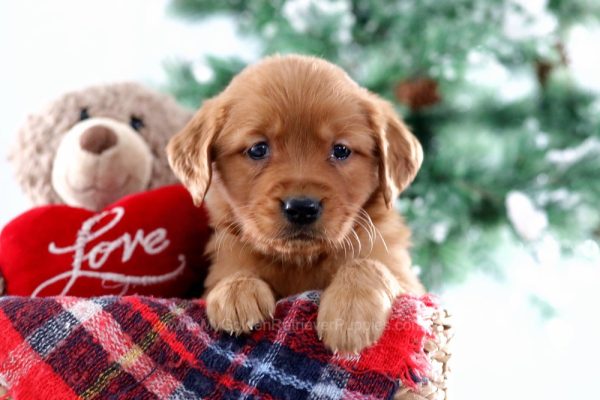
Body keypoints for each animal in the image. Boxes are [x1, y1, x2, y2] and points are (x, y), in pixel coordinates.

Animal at [166, 53, 424, 354]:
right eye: (258, 149)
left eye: (341, 150)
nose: (302, 208)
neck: (300, 262)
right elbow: (233, 272)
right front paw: (235, 290)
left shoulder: (410, 283)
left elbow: (367, 265)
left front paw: (350, 312)